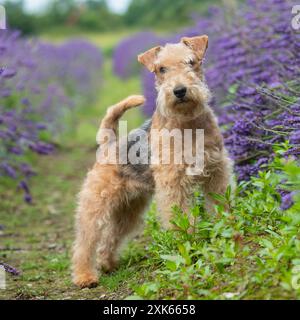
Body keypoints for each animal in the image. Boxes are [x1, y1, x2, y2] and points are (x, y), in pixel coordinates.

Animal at [72, 35, 232, 288]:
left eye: (191, 62)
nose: (179, 91)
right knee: (85, 241)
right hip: (95, 204)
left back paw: (108, 264)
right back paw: (85, 276)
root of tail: (109, 143)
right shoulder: (174, 182)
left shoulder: (217, 171)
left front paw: (226, 228)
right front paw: (188, 245)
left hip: (129, 209)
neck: (187, 123)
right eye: (161, 69)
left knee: (110, 237)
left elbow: (220, 203)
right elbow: (180, 218)